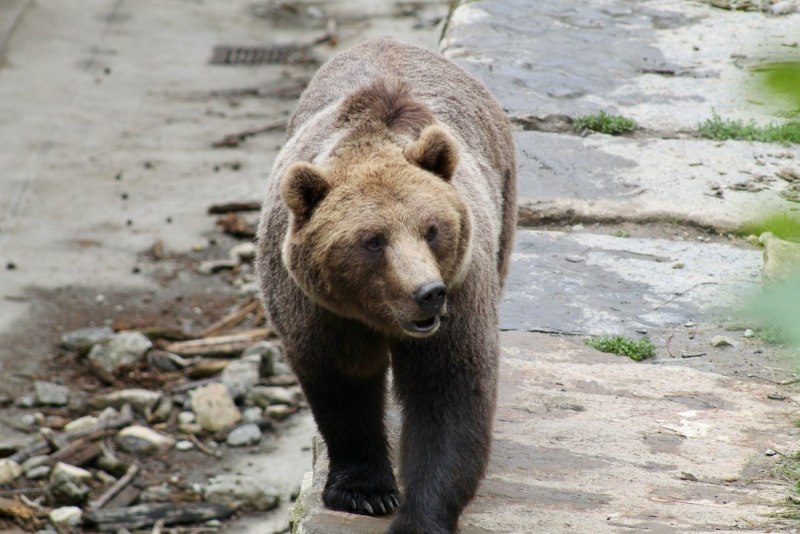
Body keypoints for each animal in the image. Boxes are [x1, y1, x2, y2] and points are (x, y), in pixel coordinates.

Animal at [256, 38, 516, 534]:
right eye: (373, 240)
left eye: (432, 229)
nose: (428, 293)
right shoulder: (317, 308)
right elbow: (343, 383)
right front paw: (365, 492)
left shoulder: (463, 290)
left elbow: (449, 393)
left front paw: (421, 517)